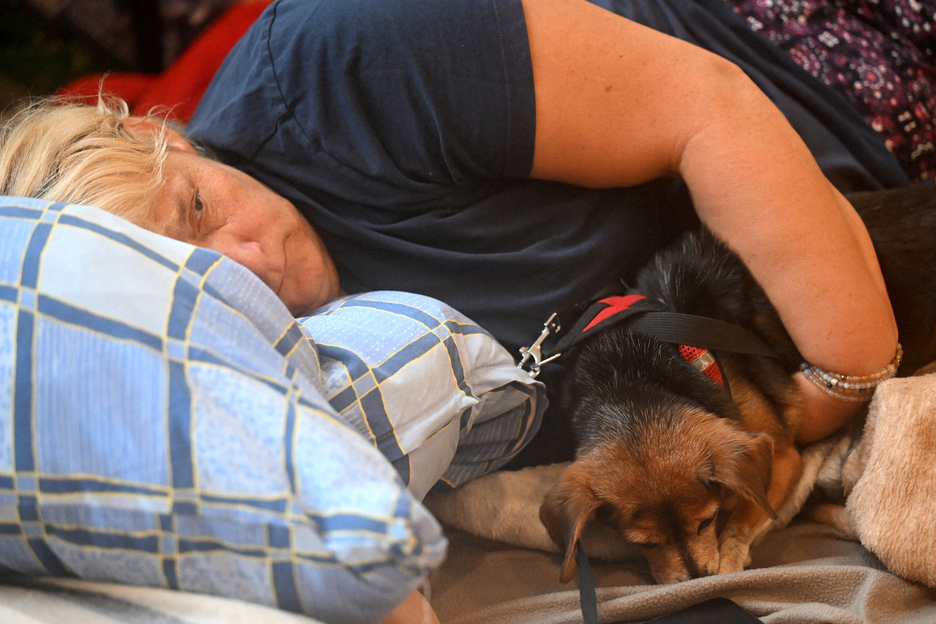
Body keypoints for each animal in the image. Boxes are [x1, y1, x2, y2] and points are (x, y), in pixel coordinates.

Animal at [536, 185, 936, 584]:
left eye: (707, 521)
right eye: (644, 543)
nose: (696, 578)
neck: (629, 377)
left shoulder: (782, 455)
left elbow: (748, 508)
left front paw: (729, 553)